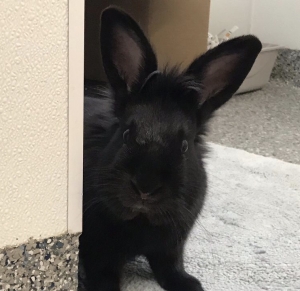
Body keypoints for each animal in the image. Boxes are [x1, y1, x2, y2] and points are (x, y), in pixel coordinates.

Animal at [79, 5, 260, 291]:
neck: (141, 220)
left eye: (184, 145)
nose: (145, 188)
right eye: (126, 134)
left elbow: (170, 267)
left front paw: (190, 285)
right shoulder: (97, 251)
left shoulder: (172, 246)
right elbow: (103, 276)